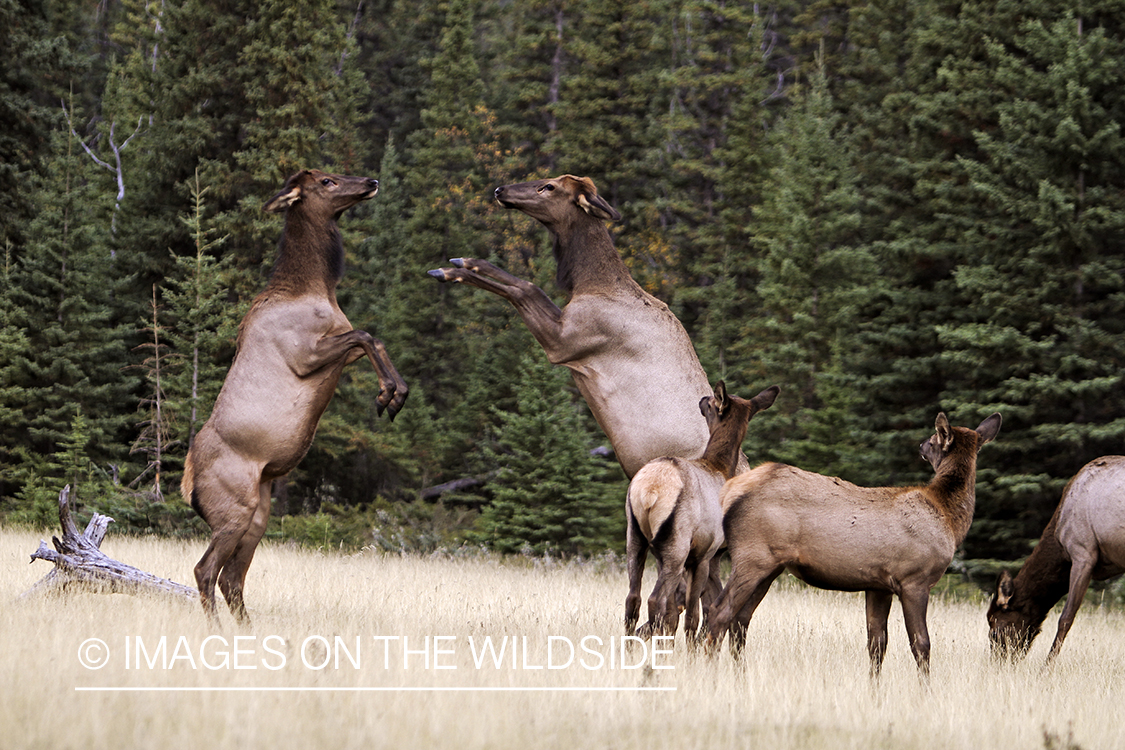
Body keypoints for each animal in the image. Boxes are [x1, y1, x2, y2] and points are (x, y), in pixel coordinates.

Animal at [182, 168, 411, 620]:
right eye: (326, 181)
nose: (370, 181)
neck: (317, 288)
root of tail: (188, 483)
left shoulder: (340, 347)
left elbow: (372, 339)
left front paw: (396, 392)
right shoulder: (304, 353)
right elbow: (367, 334)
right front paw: (389, 395)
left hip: (258, 514)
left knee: (231, 578)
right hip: (233, 508)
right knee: (205, 570)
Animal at [425, 175, 724, 479]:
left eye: (549, 186)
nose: (500, 190)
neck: (589, 283)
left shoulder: (567, 341)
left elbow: (525, 288)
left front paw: (450, 270)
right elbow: (527, 285)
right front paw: (463, 262)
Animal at [625, 382, 783, 647]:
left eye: (709, 404)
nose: (701, 399)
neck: (720, 467)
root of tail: (649, 491)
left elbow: (675, 614)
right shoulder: (704, 553)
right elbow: (693, 615)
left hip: (635, 538)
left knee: (633, 599)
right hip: (677, 547)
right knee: (655, 600)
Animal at [702, 413, 1003, 679]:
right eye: (933, 438)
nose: (921, 445)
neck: (948, 517)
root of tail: (729, 491)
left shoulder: (879, 585)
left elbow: (877, 644)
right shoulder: (914, 579)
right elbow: (921, 644)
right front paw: (924, 690)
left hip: (769, 566)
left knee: (740, 621)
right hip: (753, 556)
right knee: (719, 613)